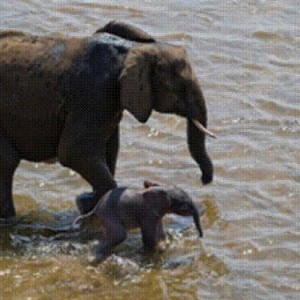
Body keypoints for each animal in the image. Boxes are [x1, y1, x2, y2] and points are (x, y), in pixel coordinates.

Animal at [0, 20, 216, 218]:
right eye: (181, 88)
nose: (203, 181)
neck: (131, 50)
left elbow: (110, 148)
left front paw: (88, 203)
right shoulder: (94, 94)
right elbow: (74, 152)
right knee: (8, 161)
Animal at [73, 180, 204, 262]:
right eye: (185, 205)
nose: (201, 237)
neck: (162, 189)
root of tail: (96, 207)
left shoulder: (157, 214)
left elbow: (159, 234)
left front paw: (163, 247)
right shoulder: (147, 214)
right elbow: (148, 237)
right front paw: (151, 256)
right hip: (109, 214)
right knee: (119, 235)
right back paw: (93, 259)